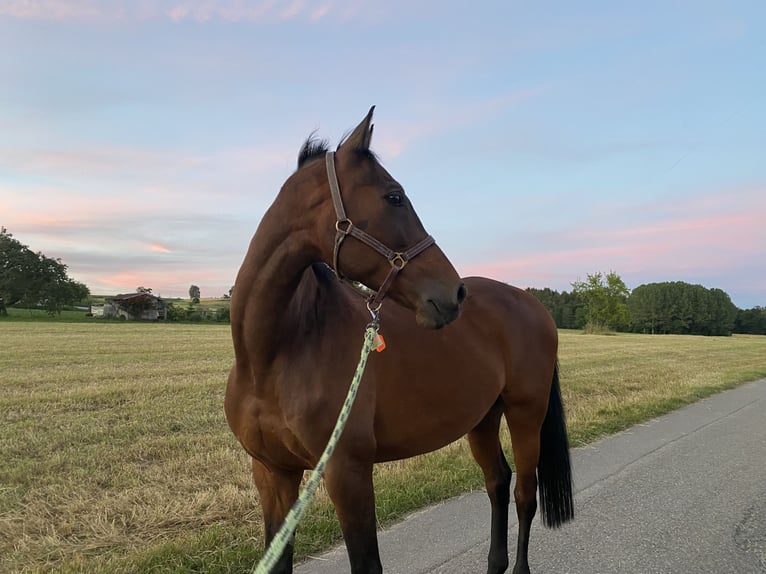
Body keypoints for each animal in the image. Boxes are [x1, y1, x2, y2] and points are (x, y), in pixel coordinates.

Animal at [225, 107, 574, 574]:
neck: (274, 356)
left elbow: (367, 564)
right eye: (394, 197)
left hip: (525, 414)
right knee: (498, 482)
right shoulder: (272, 473)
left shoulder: (347, 473)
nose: (454, 294)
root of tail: (533, 304)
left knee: (524, 495)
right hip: (482, 418)